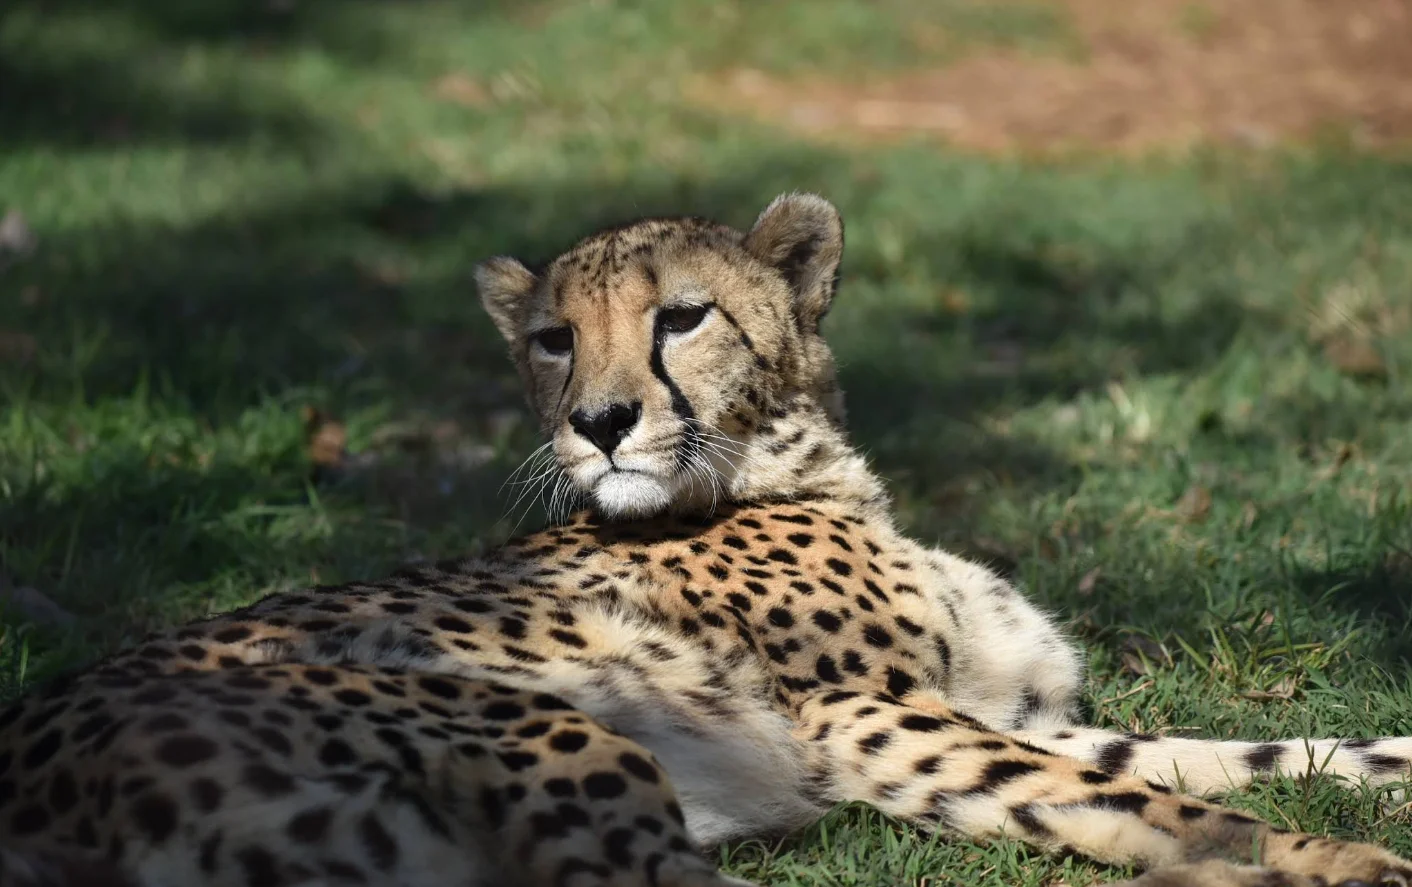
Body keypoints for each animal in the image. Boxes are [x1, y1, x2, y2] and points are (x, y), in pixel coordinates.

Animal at [0, 193, 1410, 887]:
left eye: (680, 316)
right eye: (552, 339)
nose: (599, 422)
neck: (795, 476)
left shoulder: (994, 711)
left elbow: (1205, 759)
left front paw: (1362, 777)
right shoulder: (862, 717)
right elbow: (1156, 801)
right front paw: (1336, 862)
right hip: (560, 731)